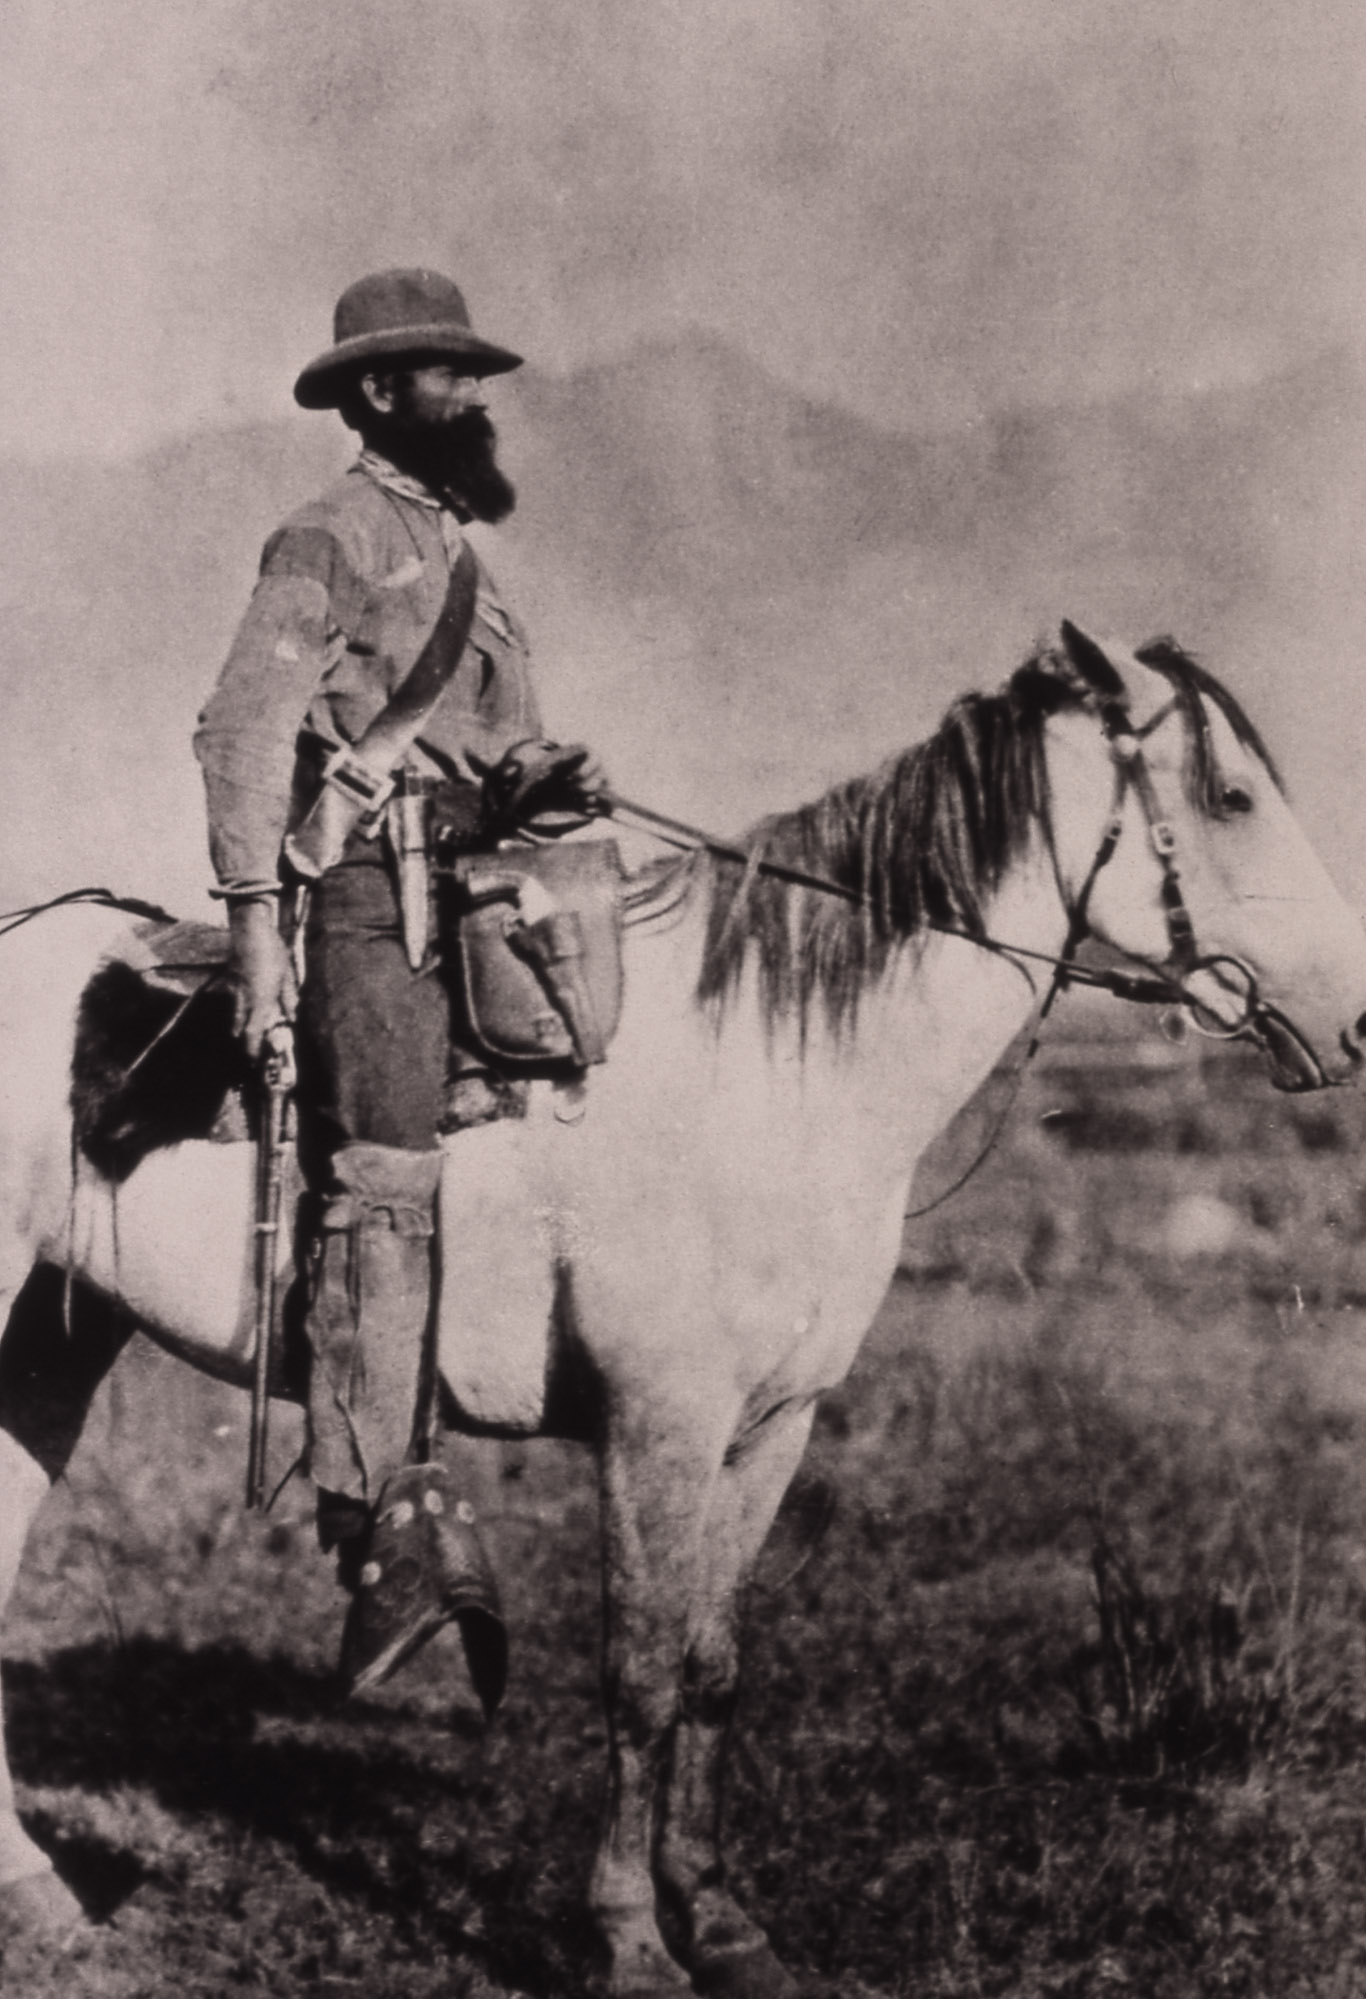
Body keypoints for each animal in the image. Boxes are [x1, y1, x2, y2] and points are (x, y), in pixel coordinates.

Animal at [2, 627, 1366, 1999]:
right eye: (1230, 796)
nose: (1352, 1022)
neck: (765, 1069)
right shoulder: (657, 1423)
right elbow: (642, 1673)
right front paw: (627, 1937)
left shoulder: (772, 1427)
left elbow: (712, 1666)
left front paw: (718, 1919)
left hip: (53, 1344)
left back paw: (38, 1888)